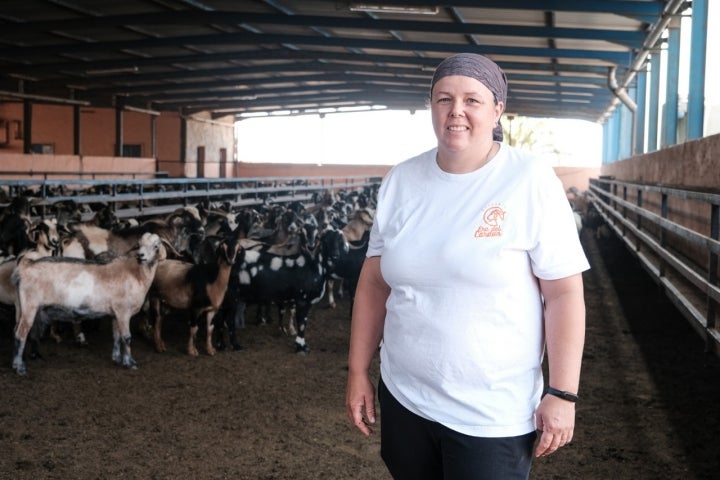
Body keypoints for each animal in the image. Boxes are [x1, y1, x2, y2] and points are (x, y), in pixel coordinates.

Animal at [13, 232, 166, 376]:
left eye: (156, 246)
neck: (135, 274)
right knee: (21, 335)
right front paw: (130, 363)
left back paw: (17, 364)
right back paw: (20, 369)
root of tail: (26, 266)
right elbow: (127, 338)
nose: (141, 256)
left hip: (22, 308)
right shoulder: (123, 312)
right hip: (29, 306)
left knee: (16, 333)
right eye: (139, 245)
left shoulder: (116, 314)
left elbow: (116, 336)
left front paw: (117, 358)